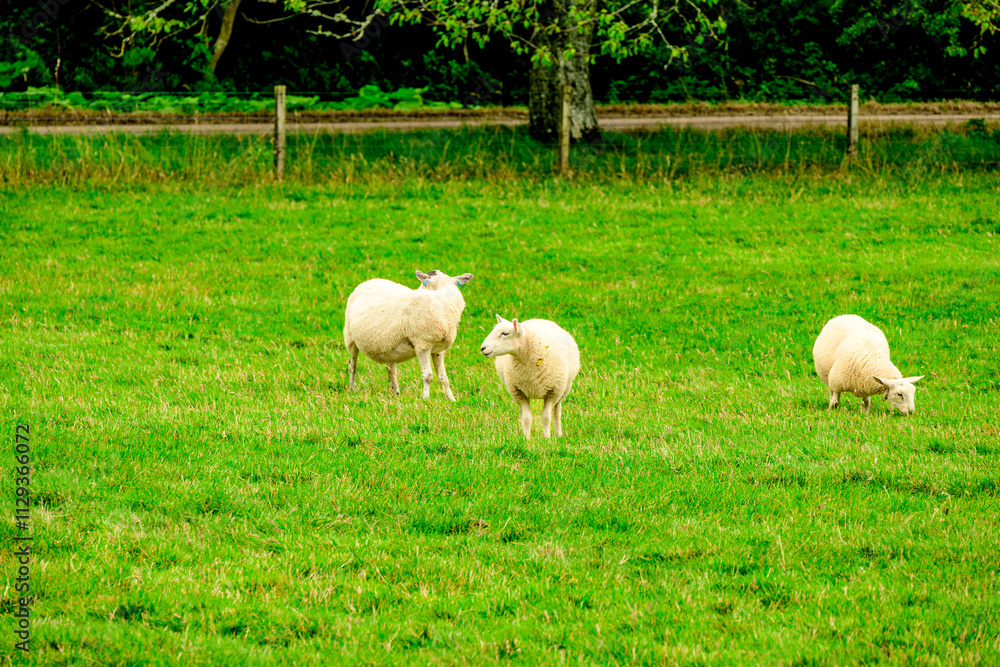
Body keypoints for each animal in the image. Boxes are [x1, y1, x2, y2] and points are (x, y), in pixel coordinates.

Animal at [344, 270, 474, 401]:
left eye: (424, 284)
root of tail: (370, 280)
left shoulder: (437, 350)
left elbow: (443, 378)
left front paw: (451, 399)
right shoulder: (422, 345)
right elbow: (428, 376)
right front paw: (425, 399)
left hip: (389, 344)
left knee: (391, 371)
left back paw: (396, 394)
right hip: (350, 338)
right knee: (352, 367)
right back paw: (352, 390)